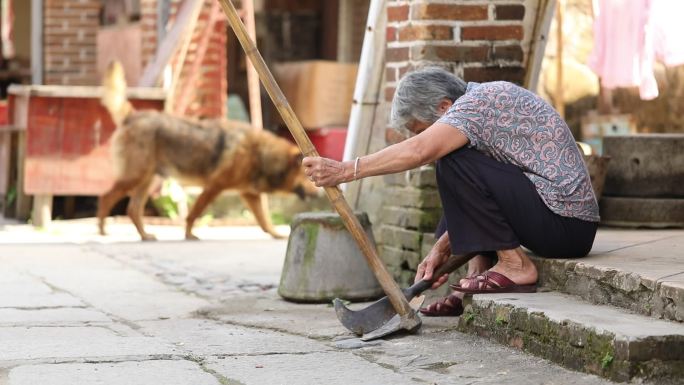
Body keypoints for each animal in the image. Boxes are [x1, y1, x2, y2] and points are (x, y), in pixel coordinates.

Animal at [97, 61, 320, 238]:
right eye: (306, 176)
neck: (261, 155)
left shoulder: (250, 195)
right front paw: (189, 235)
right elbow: (194, 213)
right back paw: (102, 230)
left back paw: (144, 236)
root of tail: (134, 116)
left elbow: (264, 220)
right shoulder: (214, 186)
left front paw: (275, 234)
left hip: (147, 179)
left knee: (133, 209)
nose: (319, 195)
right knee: (106, 197)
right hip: (135, 176)